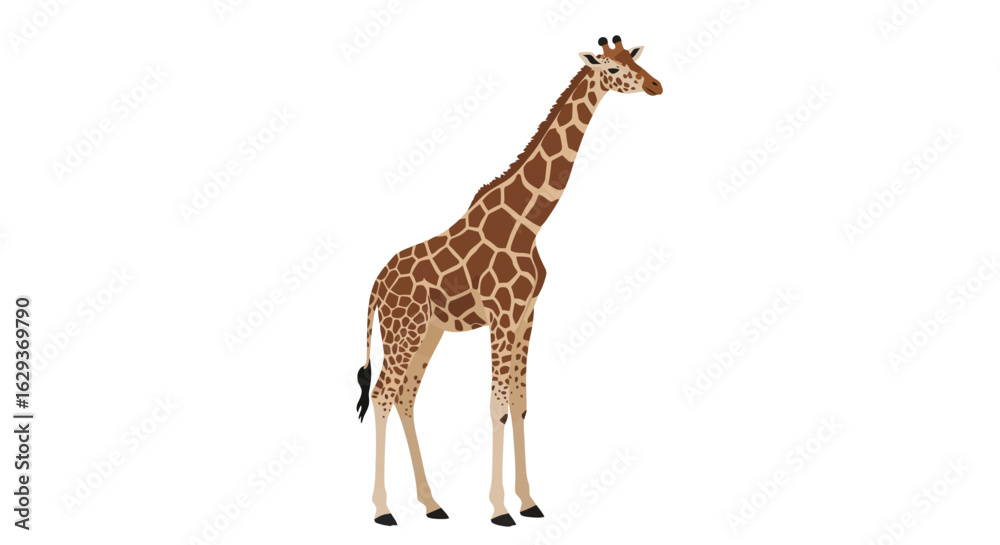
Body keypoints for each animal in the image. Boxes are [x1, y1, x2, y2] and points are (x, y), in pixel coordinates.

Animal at [355, 36, 661, 526]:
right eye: (611, 69)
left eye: (633, 58)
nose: (655, 85)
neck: (528, 221)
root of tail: (376, 288)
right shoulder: (502, 314)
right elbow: (497, 405)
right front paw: (500, 509)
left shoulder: (526, 314)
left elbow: (519, 404)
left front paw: (529, 501)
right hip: (403, 330)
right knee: (384, 395)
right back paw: (384, 510)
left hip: (428, 331)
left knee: (406, 397)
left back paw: (432, 504)